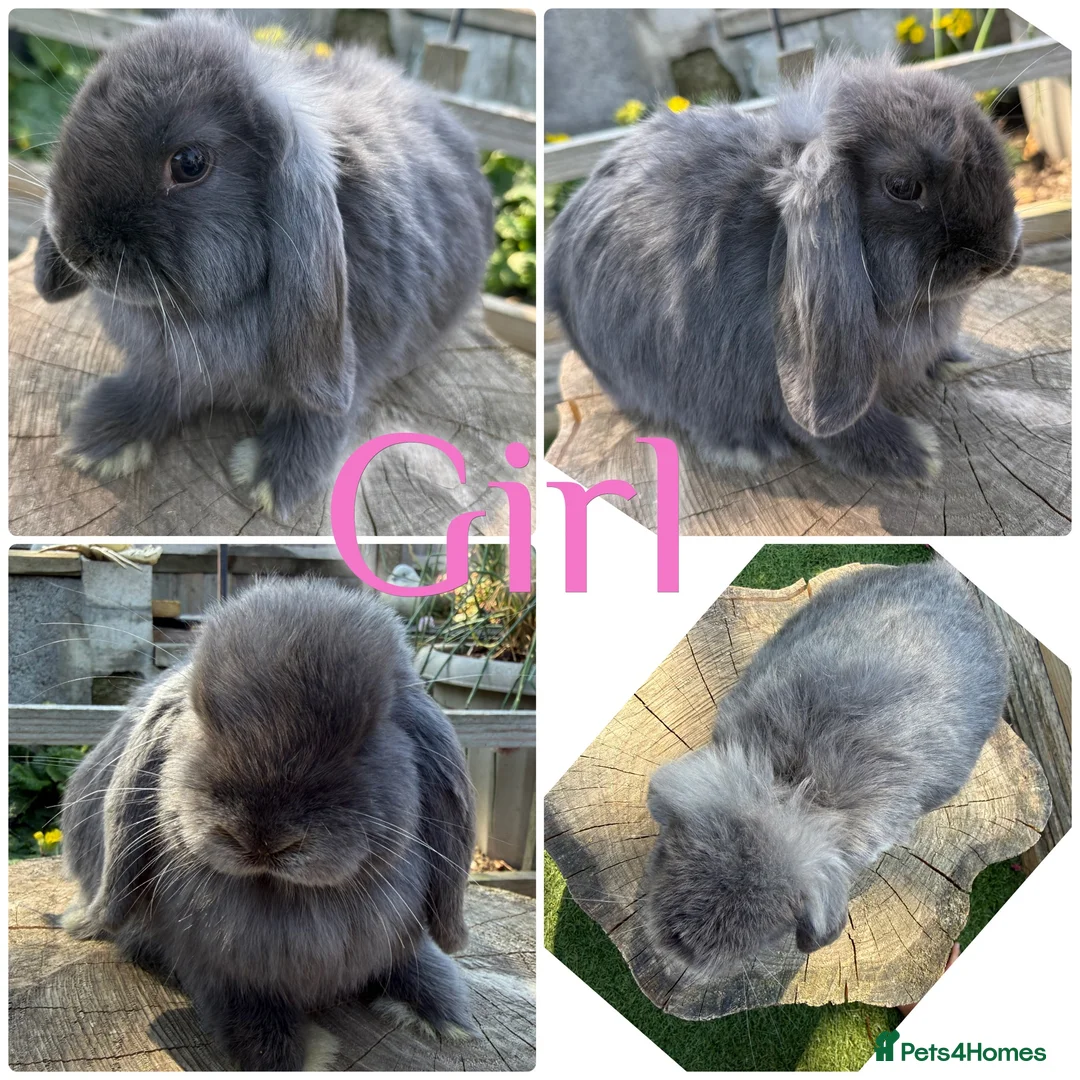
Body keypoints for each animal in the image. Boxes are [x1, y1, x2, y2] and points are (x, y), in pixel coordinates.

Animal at [34, 13, 493, 519]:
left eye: (189, 162)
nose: (75, 248)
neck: (199, 314)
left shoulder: (358, 364)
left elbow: (320, 416)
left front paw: (272, 479)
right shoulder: (166, 366)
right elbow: (156, 386)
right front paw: (99, 437)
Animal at [59, 578, 478, 1070]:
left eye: (369, 733)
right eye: (201, 715)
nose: (261, 838)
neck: (289, 896)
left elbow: (412, 963)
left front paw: (445, 1014)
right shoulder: (216, 970)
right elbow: (247, 1013)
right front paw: (296, 1057)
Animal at [547, 54, 1022, 485]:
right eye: (902, 187)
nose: (998, 255)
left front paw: (953, 360)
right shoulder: (785, 382)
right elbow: (834, 430)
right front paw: (919, 458)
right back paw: (747, 448)